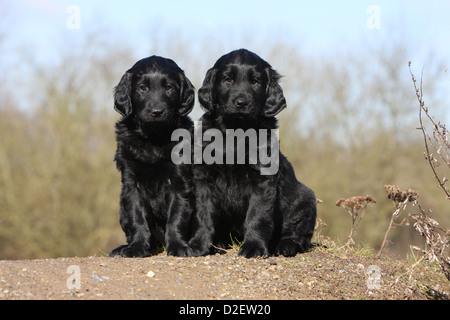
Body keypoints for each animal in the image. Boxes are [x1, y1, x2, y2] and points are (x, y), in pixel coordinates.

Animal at [109, 55, 195, 258]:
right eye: (142, 88)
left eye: (169, 87)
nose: (157, 112)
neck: (154, 137)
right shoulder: (131, 183)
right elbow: (137, 217)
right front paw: (136, 247)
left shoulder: (180, 181)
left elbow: (176, 215)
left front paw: (178, 246)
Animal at [189, 48, 316, 258]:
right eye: (228, 79)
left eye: (256, 82)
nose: (242, 102)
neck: (236, 131)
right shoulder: (204, 178)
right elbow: (202, 213)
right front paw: (198, 244)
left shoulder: (262, 180)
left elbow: (258, 215)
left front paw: (253, 247)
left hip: (305, 200)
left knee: (300, 235)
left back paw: (285, 246)